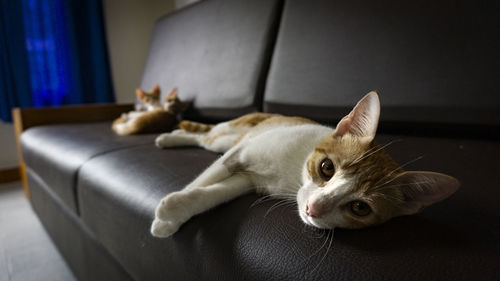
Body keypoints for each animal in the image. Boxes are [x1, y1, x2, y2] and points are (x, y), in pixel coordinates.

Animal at [150, 92, 458, 236]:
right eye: (327, 168)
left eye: (360, 207)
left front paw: (177, 210)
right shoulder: (239, 154)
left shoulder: (248, 180)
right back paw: (170, 137)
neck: (293, 174)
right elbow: (205, 179)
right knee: (207, 138)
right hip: (232, 137)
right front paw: (163, 217)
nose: (313, 208)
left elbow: (214, 193)